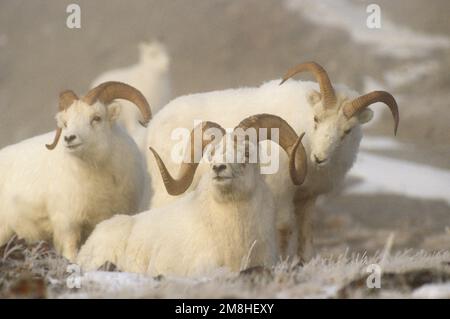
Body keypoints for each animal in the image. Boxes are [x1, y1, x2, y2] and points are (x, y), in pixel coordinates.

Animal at [143, 62, 398, 262]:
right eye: (316, 119)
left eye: (348, 130)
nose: (319, 158)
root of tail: (155, 122)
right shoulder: (282, 194)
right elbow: (284, 229)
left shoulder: (307, 198)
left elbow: (306, 234)